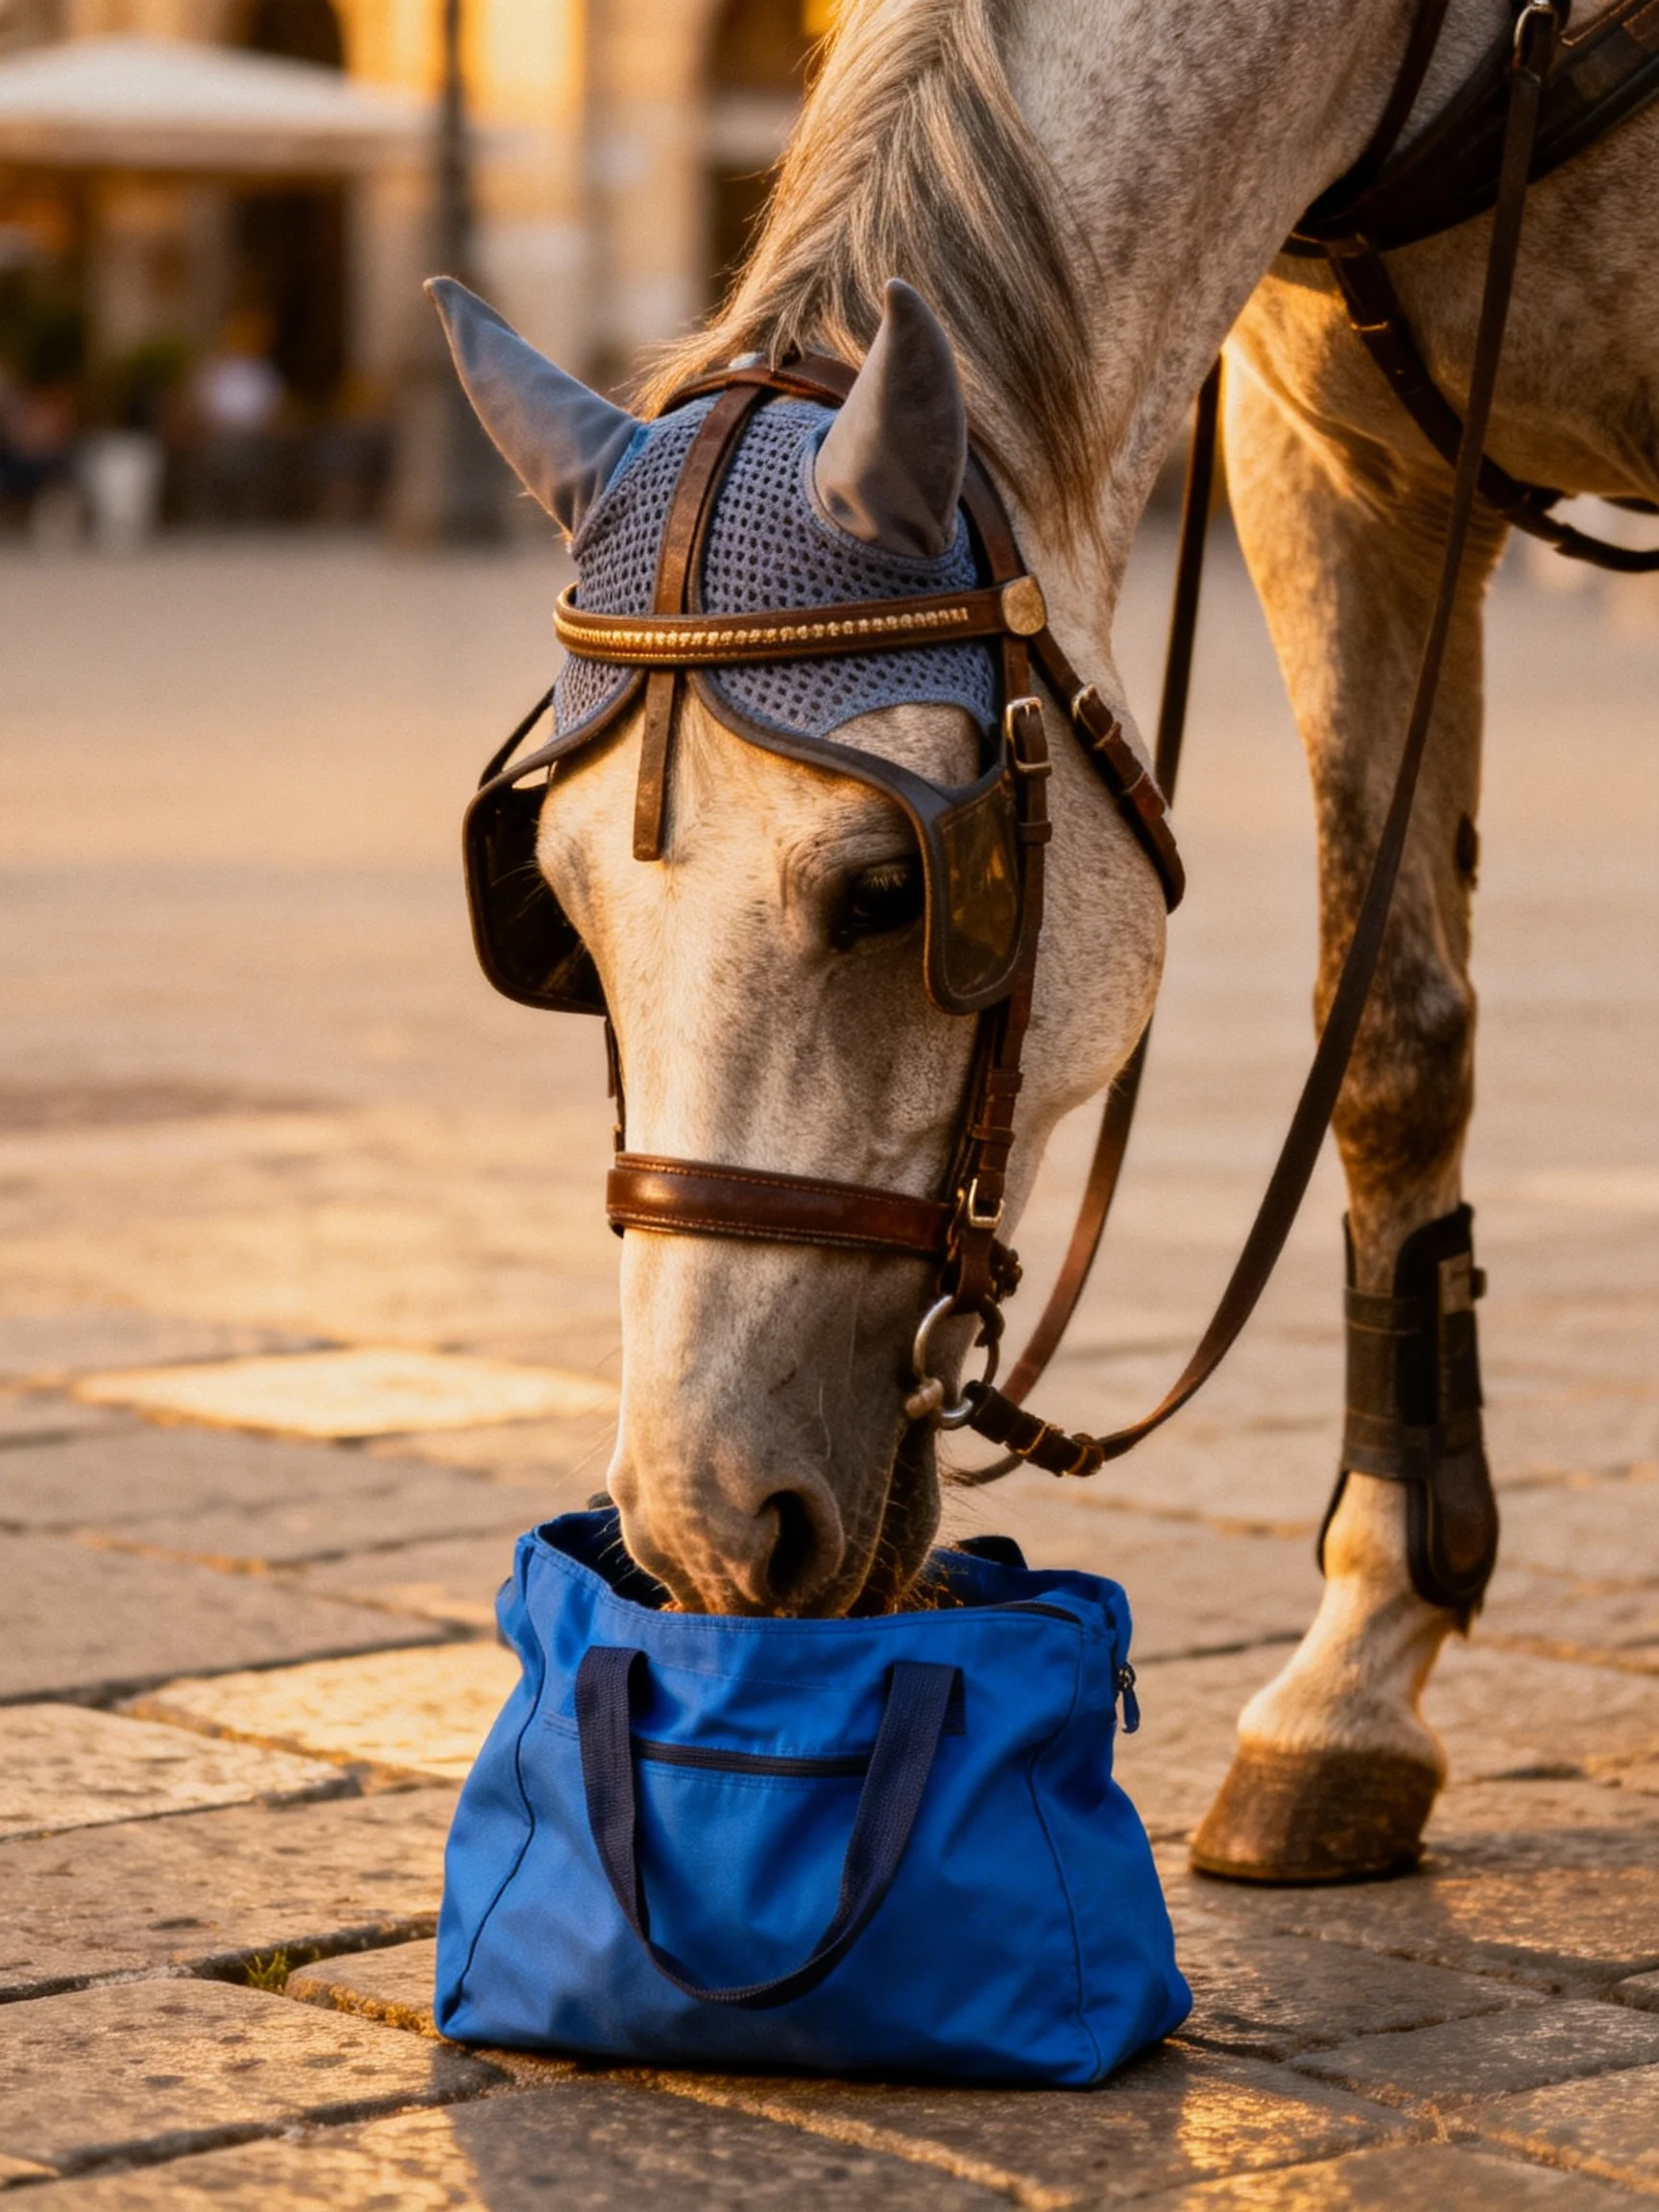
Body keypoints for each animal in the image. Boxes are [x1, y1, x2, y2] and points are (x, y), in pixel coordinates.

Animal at [432, 0, 1657, 1884]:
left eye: (889, 888)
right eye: (551, 908)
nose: (699, 1523)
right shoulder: (1331, 460)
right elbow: (1389, 1036)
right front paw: (1358, 1674)